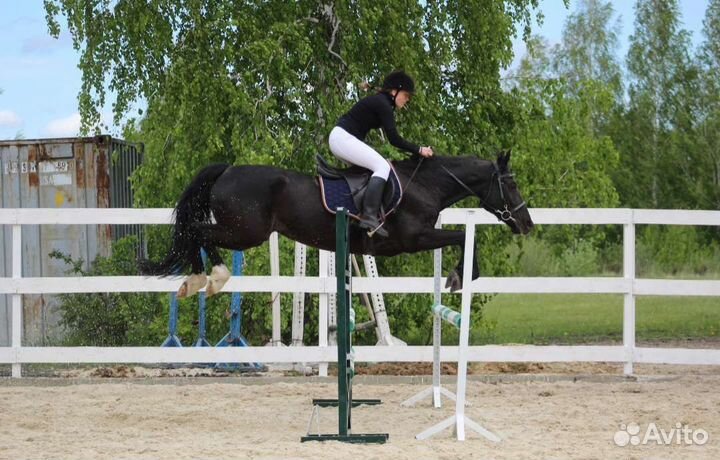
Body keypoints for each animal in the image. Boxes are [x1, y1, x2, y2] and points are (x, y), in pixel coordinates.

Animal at [139, 150, 534, 297]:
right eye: (511, 184)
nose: (527, 224)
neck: (424, 185)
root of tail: (227, 170)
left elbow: (462, 238)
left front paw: (457, 277)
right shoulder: (414, 239)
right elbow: (463, 238)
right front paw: (459, 277)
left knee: (197, 233)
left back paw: (199, 280)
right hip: (245, 232)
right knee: (197, 232)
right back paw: (205, 279)